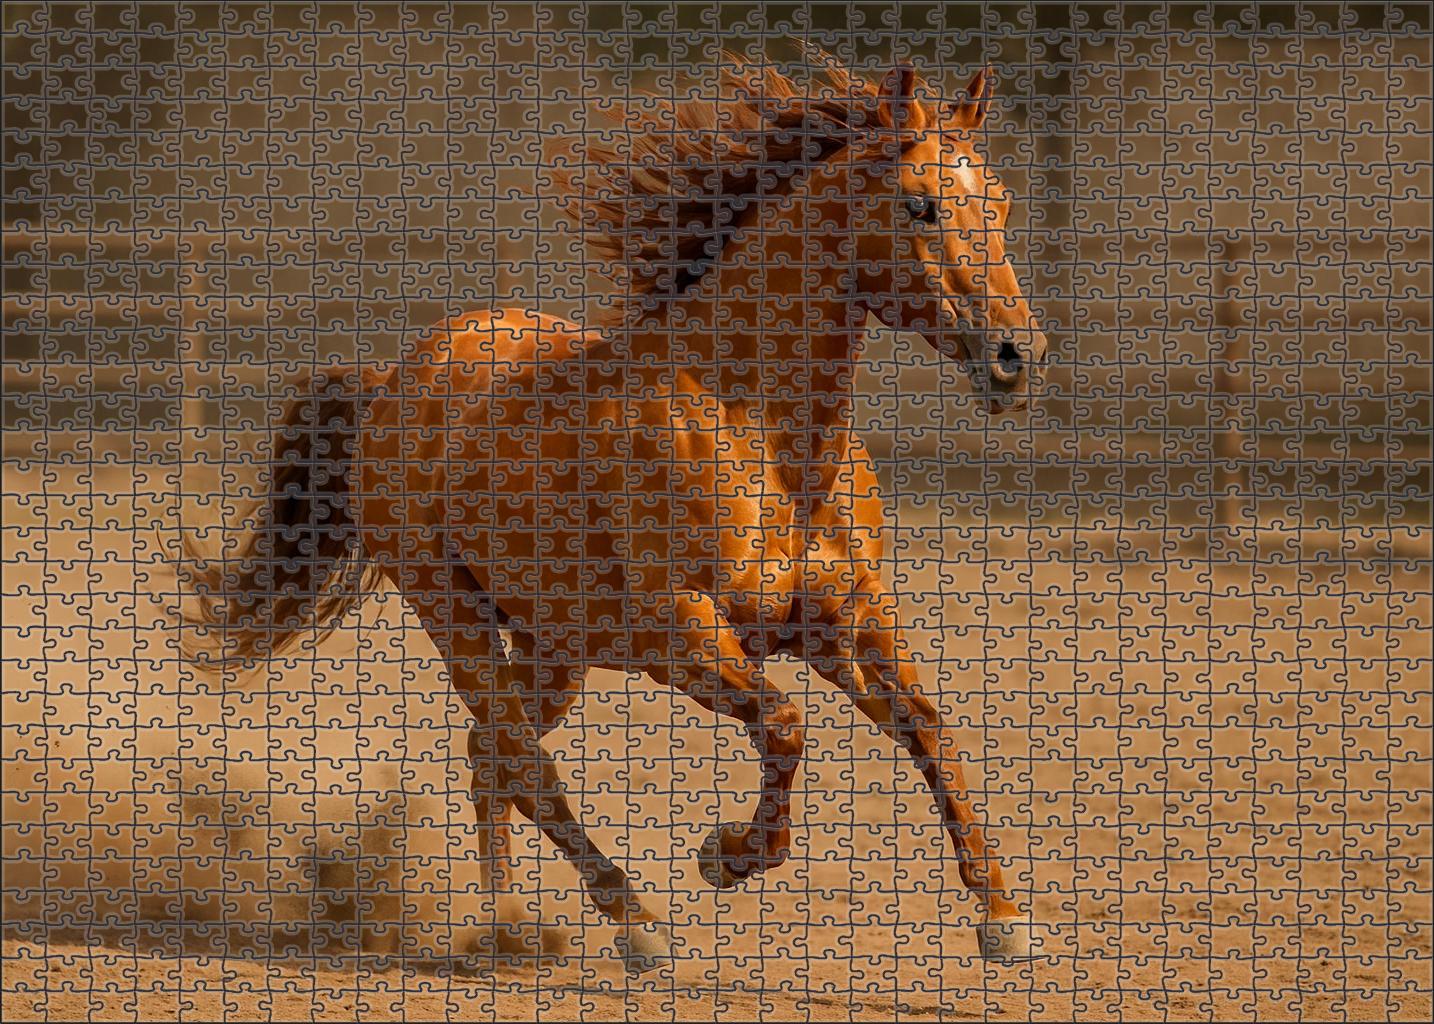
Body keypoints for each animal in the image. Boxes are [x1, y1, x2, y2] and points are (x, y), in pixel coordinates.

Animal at [183, 57, 1049, 973]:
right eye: (920, 204)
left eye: (998, 201)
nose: (1017, 356)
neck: (758, 435)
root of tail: (391, 381)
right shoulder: (686, 635)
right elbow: (784, 725)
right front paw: (723, 856)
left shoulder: (848, 625)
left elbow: (930, 731)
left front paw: (1004, 917)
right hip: (456, 618)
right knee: (522, 761)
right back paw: (618, 923)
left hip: (554, 643)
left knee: (493, 754)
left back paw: (511, 922)